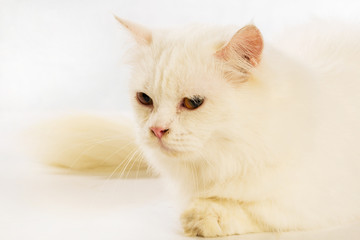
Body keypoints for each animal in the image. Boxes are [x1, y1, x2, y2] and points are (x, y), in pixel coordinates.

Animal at [39, 17, 360, 237]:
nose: (156, 130)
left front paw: (203, 217)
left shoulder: (318, 203)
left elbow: (260, 210)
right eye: (145, 99)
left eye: (193, 103)